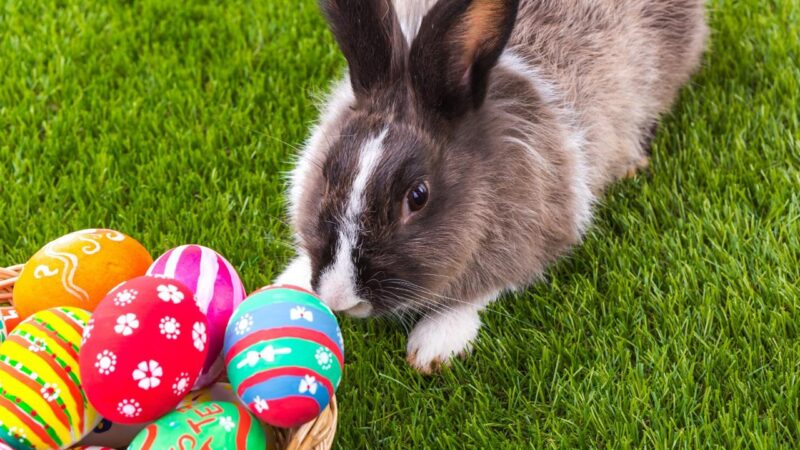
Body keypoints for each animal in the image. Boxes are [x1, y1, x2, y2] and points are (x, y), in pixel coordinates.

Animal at [278, 0, 708, 372]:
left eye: (417, 197)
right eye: (329, 170)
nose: (337, 297)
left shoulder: (537, 233)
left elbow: (483, 289)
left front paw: (435, 344)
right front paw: (290, 281)